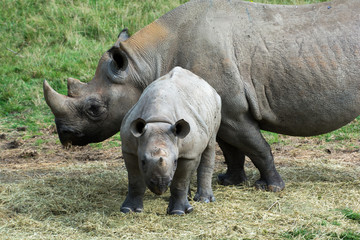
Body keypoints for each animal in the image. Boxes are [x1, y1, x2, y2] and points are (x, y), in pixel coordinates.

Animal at [43, 0, 358, 191]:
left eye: (94, 108)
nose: (65, 135)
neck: (145, 64)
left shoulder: (232, 112)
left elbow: (257, 147)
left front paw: (271, 187)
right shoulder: (219, 110)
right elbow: (232, 149)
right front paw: (230, 181)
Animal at [121, 66, 221, 215]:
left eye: (175, 161)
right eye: (143, 161)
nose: (160, 184)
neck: (158, 120)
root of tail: (207, 85)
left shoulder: (188, 154)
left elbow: (180, 182)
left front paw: (178, 212)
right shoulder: (129, 149)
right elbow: (135, 181)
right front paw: (128, 209)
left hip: (216, 105)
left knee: (210, 144)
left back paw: (204, 200)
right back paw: (189, 197)